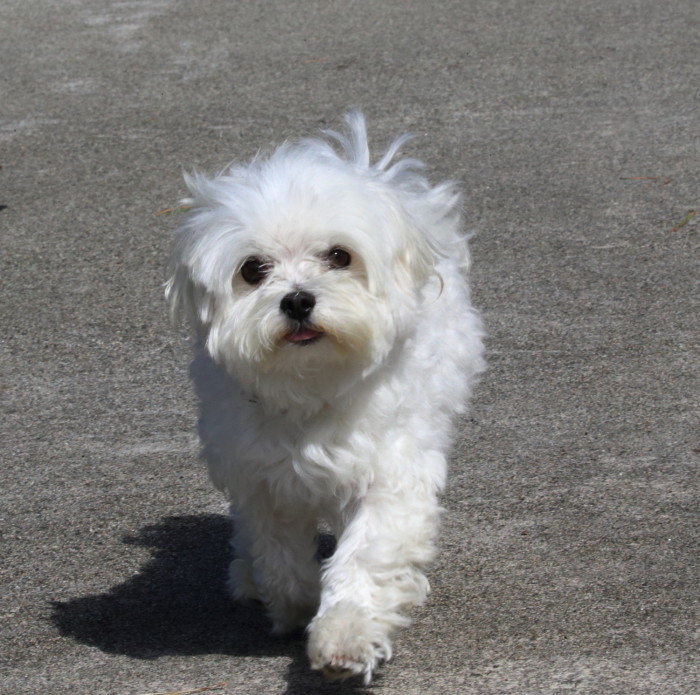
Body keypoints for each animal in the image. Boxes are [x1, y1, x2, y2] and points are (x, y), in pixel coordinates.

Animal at [168, 111, 486, 684]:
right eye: (253, 269)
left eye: (339, 256)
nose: (297, 300)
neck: (311, 386)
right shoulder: (261, 479)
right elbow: (280, 558)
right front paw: (295, 605)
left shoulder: (390, 475)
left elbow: (365, 557)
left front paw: (344, 636)